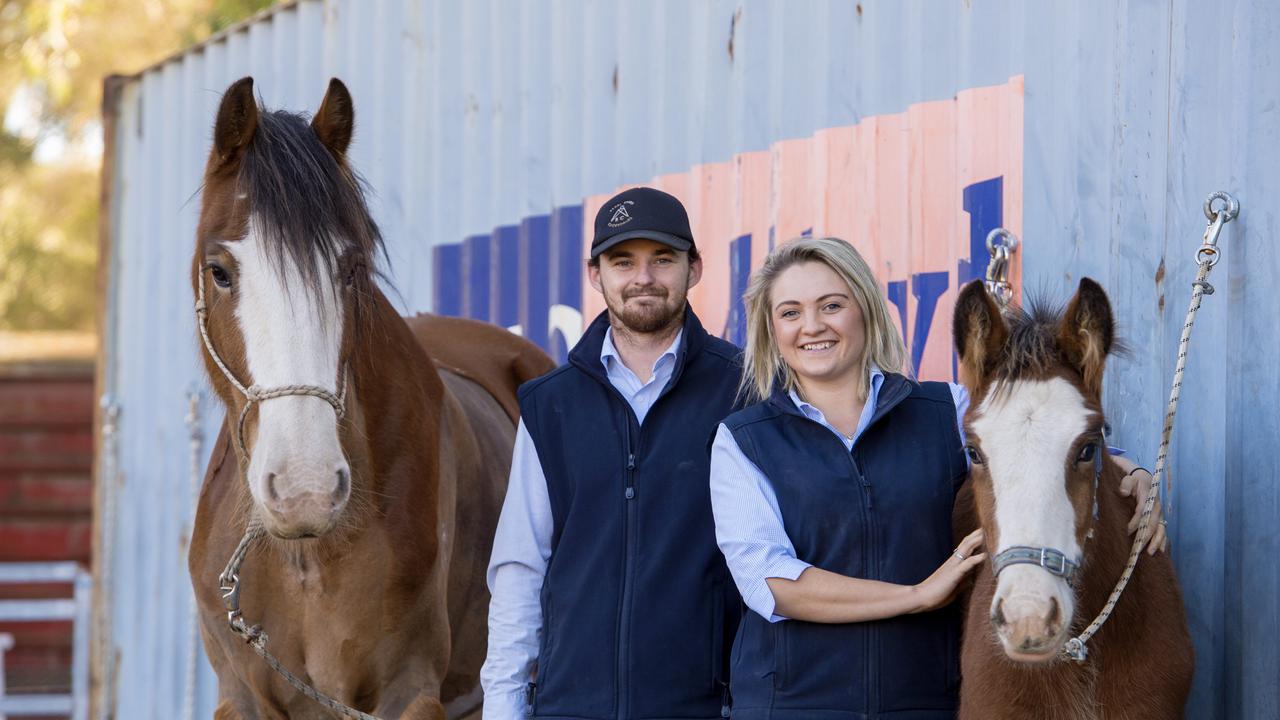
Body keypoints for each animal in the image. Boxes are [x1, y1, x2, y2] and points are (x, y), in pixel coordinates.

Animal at [186, 78, 555, 717]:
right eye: (219, 270)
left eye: (352, 269)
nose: (305, 490)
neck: (305, 555)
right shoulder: (240, 696)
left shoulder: (410, 691)